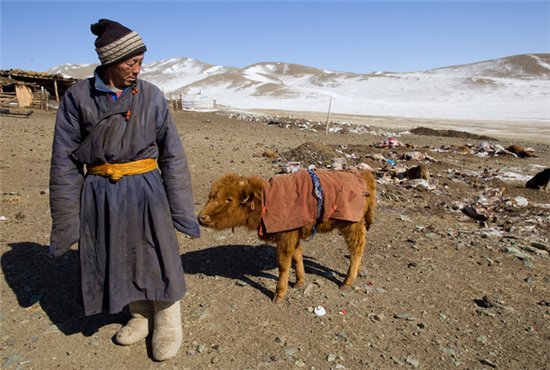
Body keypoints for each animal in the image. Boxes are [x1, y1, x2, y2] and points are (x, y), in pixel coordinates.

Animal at [199, 169, 380, 304]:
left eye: (229, 199)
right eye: (211, 196)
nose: (201, 217)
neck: (266, 201)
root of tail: (363, 175)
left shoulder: (285, 238)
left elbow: (283, 265)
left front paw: (279, 294)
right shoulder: (294, 235)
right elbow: (297, 257)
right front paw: (299, 281)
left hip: (352, 225)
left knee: (356, 249)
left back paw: (347, 281)